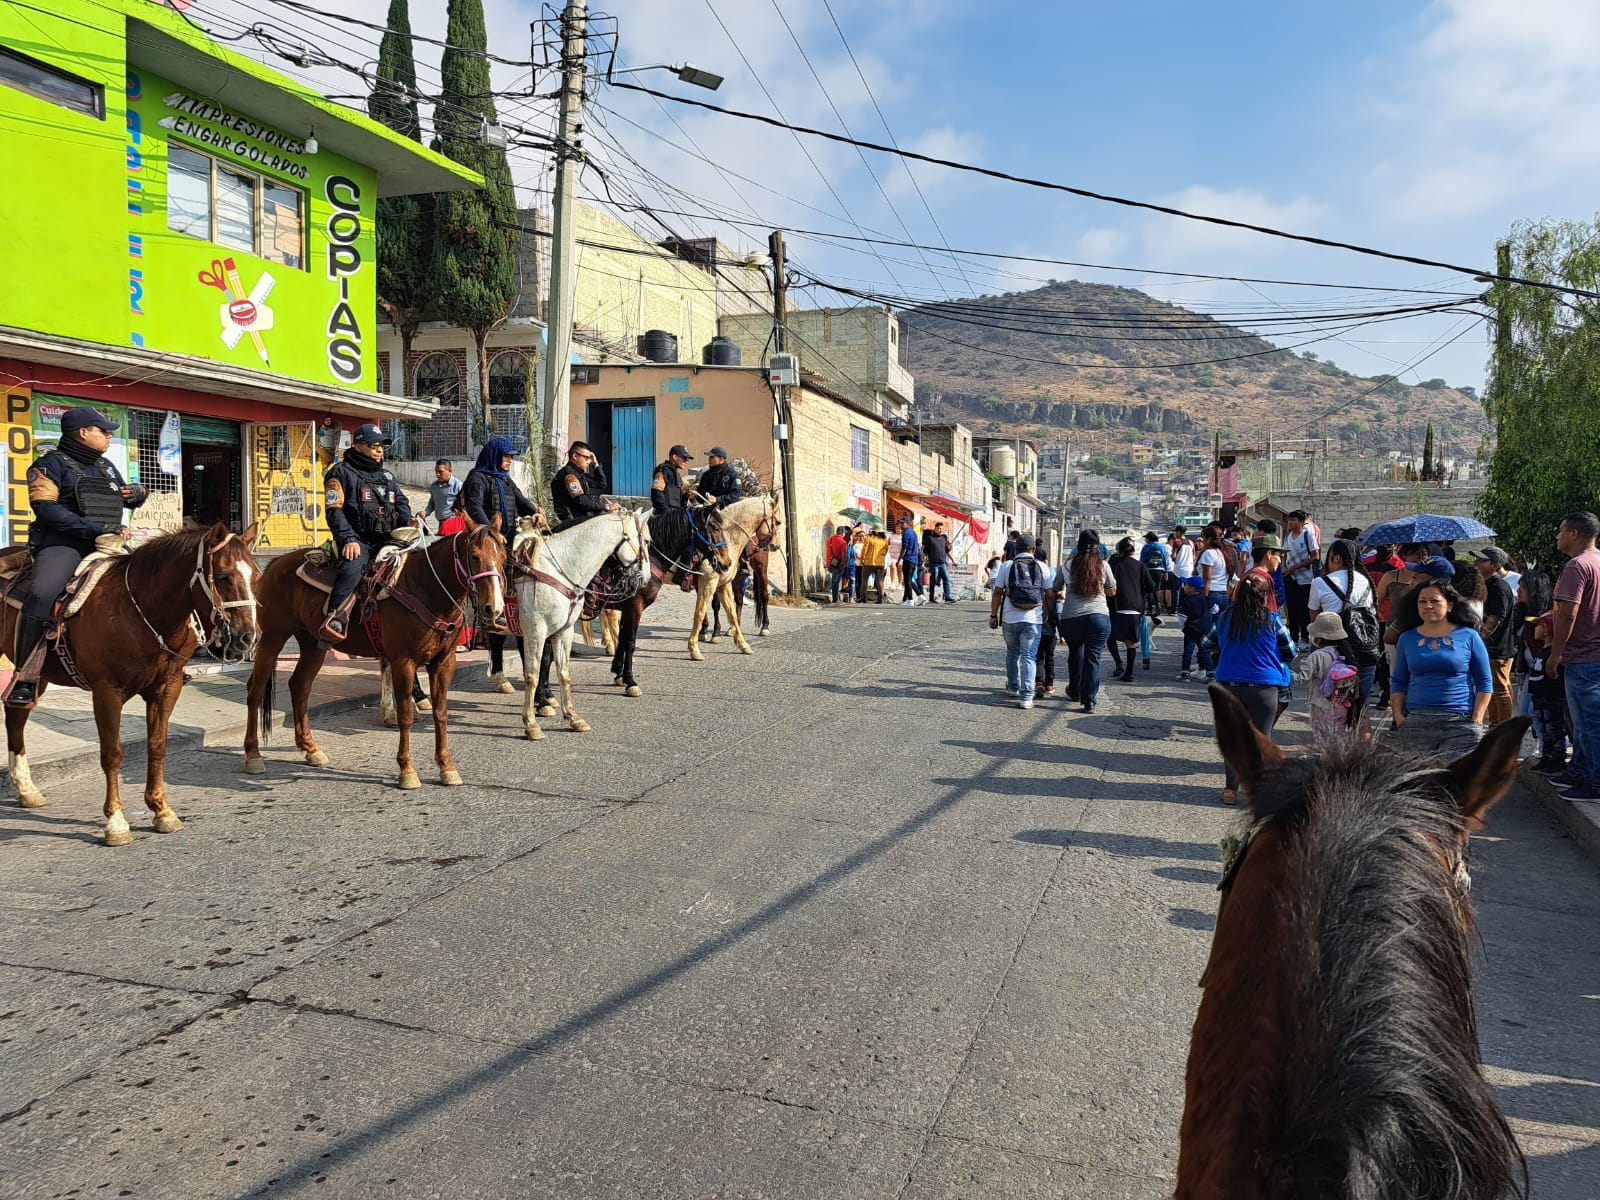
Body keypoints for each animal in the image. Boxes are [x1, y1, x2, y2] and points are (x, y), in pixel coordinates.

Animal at [2, 524, 262, 844]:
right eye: (224, 576)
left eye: (256, 576)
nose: (249, 637)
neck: (140, 610)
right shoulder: (107, 692)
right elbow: (112, 754)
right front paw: (116, 822)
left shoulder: (167, 687)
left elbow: (157, 745)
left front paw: (162, 811)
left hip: (35, 674)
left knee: (16, 715)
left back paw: (27, 790)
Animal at [241, 518, 505, 790]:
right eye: (474, 556)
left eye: (503, 556)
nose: (493, 608)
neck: (424, 588)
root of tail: (276, 563)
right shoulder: (403, 661)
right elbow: (405, 715)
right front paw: (407, 771)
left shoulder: (444, 662)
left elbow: (441, 713)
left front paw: (447, 767)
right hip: (273, 638)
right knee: (256, 691)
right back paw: (253, 755)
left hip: (313, 643)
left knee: (299, 686)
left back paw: (311, 749)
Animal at [508, 508, 640, 739]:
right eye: (641, 540)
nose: (639, 580)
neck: (557, 569)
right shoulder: (535, 631)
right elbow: (532, 675)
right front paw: (531, 723)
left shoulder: (563, 631)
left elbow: (563, 673)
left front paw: (573, 717)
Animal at [684, 499, 777, 668]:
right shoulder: (705, 582)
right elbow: (708, 608)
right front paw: (704, 632)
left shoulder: (713, 581)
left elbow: (714, 606)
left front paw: (715, 633)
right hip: (736, 578)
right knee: (738, 601)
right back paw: (733, 628)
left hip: (761, 569)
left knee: (764, 596)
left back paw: (764, 627)